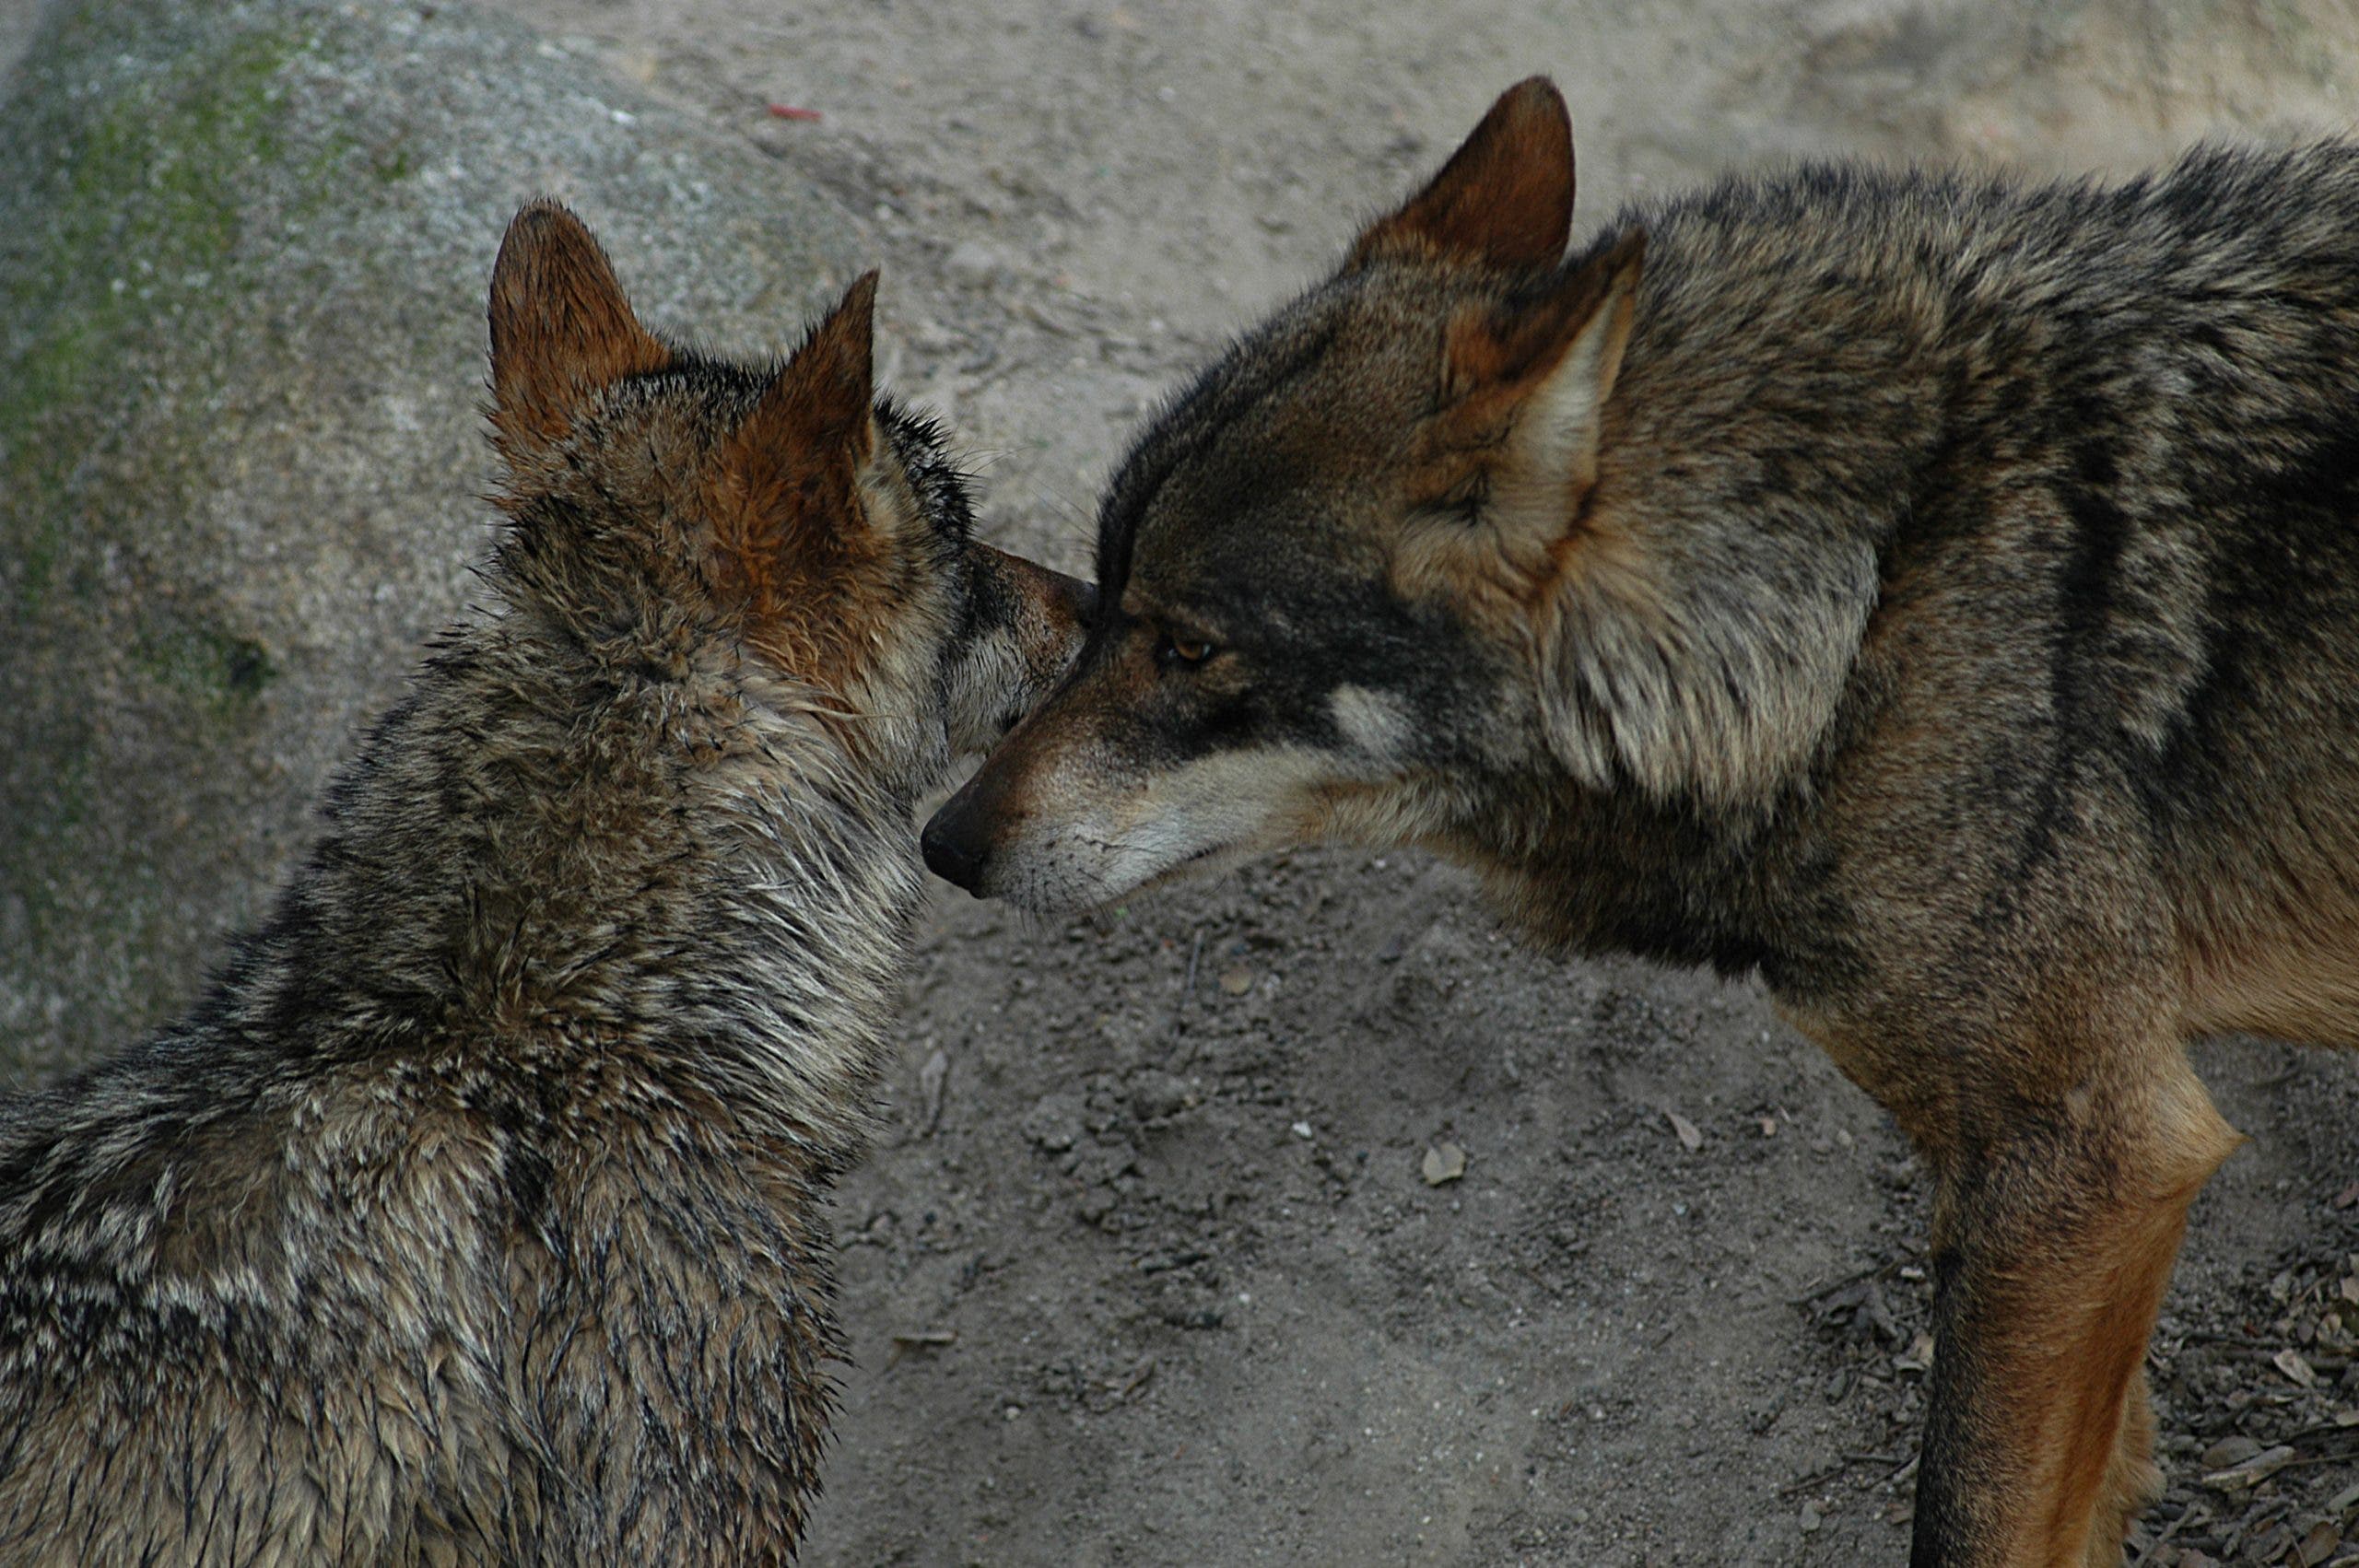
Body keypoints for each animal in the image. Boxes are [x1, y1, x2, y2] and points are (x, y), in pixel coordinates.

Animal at [922, 78, 2359, 1566]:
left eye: (1190, 646)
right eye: (1106, 595)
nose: (946, 842)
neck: (1870, 602)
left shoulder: (2092, 1156)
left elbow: (1968, 1512)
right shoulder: (2058, 1190)